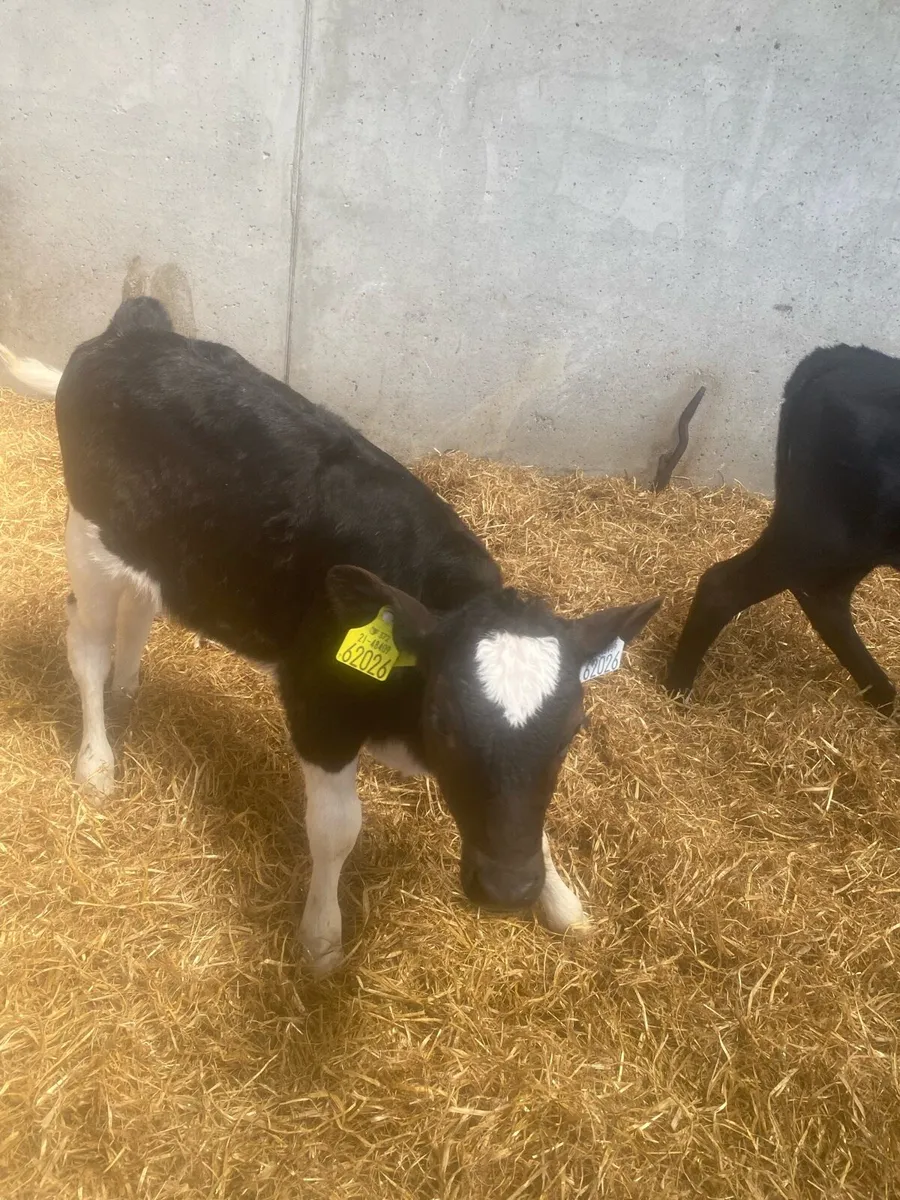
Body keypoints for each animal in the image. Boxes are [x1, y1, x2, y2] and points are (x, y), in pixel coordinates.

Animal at [1, 299, 660, 974]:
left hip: (158, 553)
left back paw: (128, 694)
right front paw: (321, 939)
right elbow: (336, 829)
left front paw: (561, 899)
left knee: (137, 611)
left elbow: (540, 816)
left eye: (572, 730)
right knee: (87, 646)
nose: (508, 890)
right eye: (446, 722)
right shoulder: (317, 706)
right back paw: (97, 763)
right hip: (89, 538)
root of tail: (135, 329)